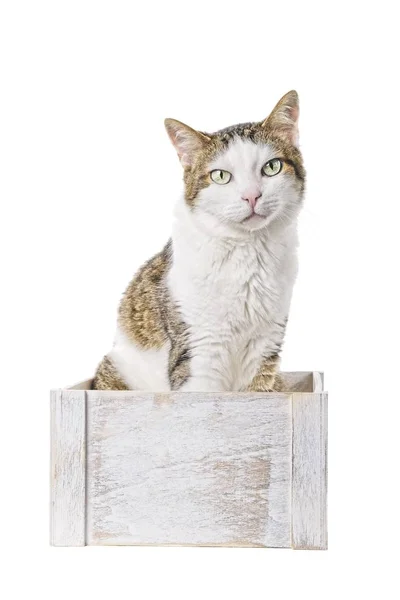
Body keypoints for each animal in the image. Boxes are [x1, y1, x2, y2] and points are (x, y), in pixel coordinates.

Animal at [93, 88, 306, 390]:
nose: (252, 196)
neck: (247, 252)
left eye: (272, 167)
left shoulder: (265, 348)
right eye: (220, 176)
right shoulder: (199, 349)